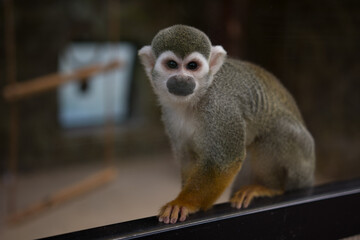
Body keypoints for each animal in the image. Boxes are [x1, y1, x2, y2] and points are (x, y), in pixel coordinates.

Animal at [138, 24, 316, 223]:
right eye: (171, 65)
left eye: (192, 66)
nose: (182, 79)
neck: (195, 99)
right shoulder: (169, 113)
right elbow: (188, 158)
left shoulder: (220, 107)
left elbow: (223, 162)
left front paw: (185, 203)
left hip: (301, 164)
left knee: (276, 132)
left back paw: (271, 188)